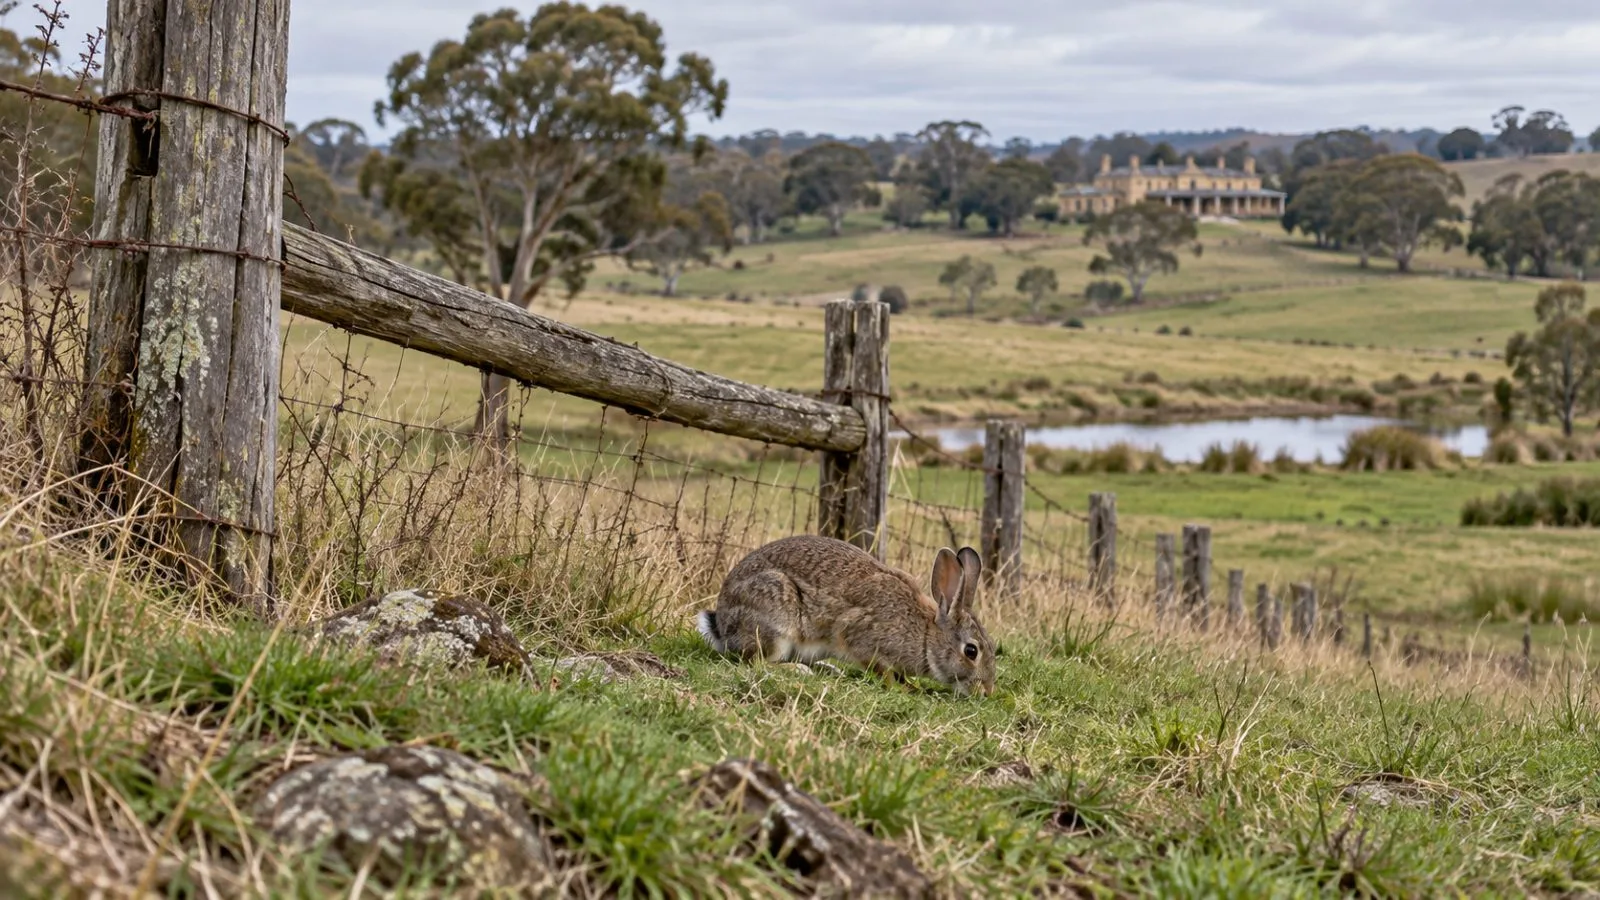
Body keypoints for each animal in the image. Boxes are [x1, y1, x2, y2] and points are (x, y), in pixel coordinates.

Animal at [696, 534, 996, 697]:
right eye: (971, 651)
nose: (987, 691)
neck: (925, 635)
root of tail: (722, 626)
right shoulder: (860, 637)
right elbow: (881, 670)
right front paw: (903, 688)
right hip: (776, 620)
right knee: (756, 662)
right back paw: (800, 670)